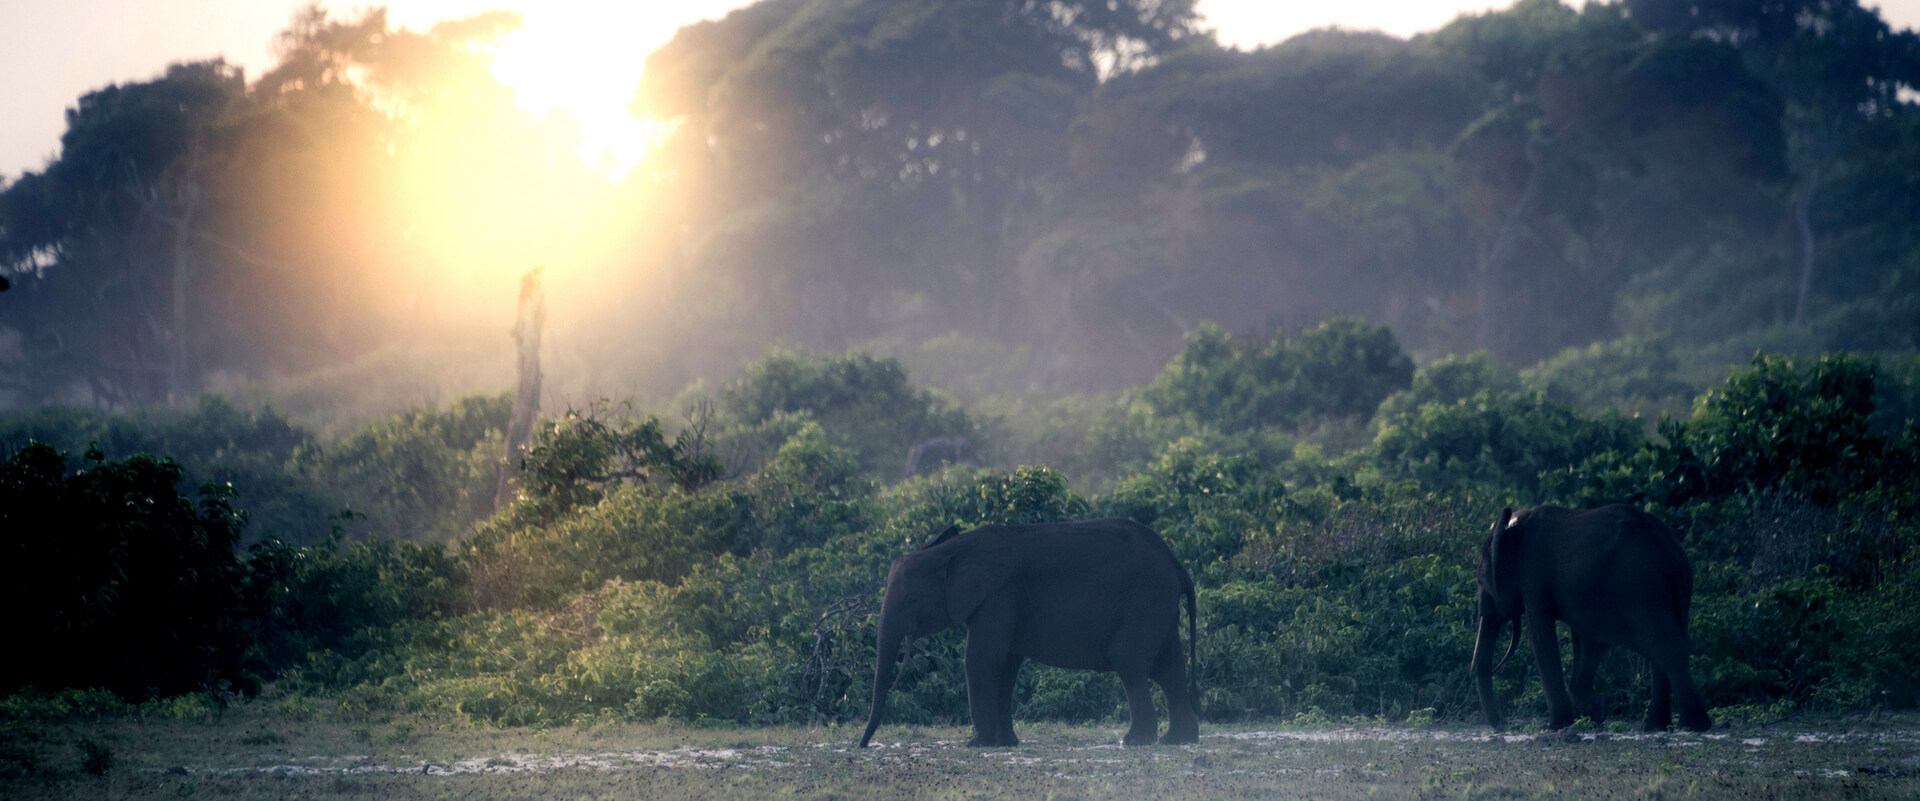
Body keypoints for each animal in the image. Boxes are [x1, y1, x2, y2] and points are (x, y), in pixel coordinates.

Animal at [860, 514, 1198, 745]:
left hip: (1145, 599)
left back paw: (1133, 742)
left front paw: (977, 744)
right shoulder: (1004, 600)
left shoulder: (999, 595)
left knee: (1129, 661)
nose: (863, 745)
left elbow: (982, 659)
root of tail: (1177, 564)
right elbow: (1006, 666)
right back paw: (1176, 740)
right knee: (1170, 668)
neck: (953, 551)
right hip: (1158, 605)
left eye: (912, 599)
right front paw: (1004, 744)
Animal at [1466, 507, 1712, 729]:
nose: (1503, 725)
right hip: (1676, 587)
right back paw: (1657, 726)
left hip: (1642, 586)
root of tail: (1669, 549)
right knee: (1664, 647)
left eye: (1480, 582)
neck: (1511, 527)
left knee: (1665, 646)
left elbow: (1542, 639)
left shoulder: (1533, 575)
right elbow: (1587, 642)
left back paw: (1693, 725)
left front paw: (1555, 726)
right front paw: (1595, 712)